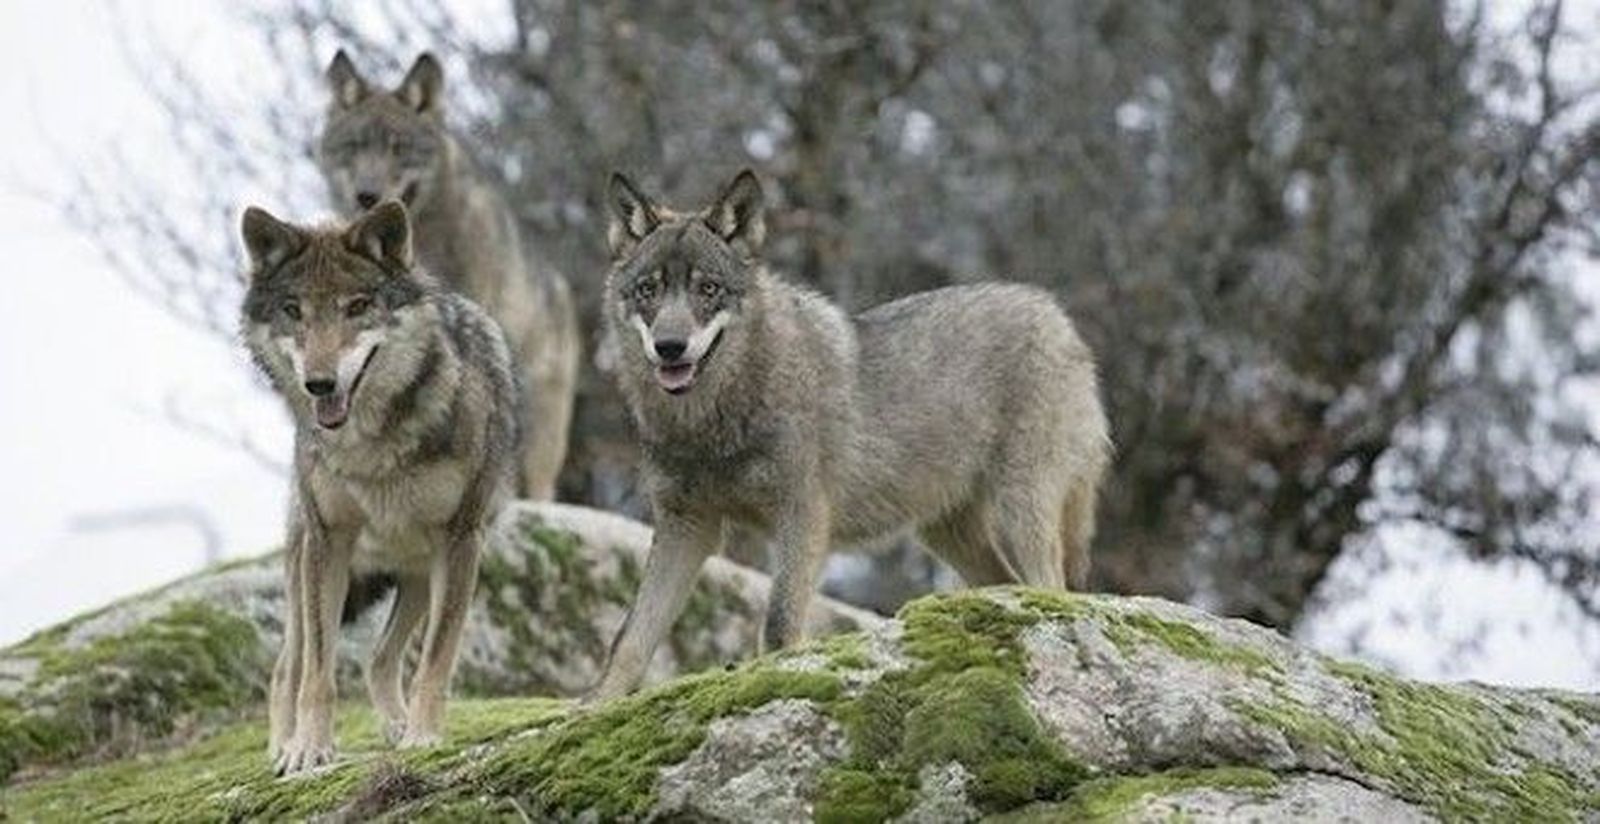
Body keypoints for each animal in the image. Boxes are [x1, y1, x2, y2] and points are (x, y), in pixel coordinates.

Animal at [240, 201, 519, 774]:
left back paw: (396, 726)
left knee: (378, 657)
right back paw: (282, 746)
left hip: (418, 574)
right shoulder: (329, 542)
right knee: (286, 669)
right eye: (293, 310)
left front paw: (422, 736)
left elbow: (435, 660)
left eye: (358, 306)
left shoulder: (461, 540)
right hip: (304, 568)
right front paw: (309, 750)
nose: (319, 384)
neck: (370, 445)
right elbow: (318, 672)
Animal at [591, 170, 1111, 699]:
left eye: (708, 288)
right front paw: (594, 706)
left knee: (1054, 589)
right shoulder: (686, 526)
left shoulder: (802, 516)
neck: (712, 420)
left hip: (1019, 513)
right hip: (947, 533)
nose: (669, 347)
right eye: (648, 290)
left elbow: (778, 626)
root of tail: (1057, 316)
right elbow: (628, 641)